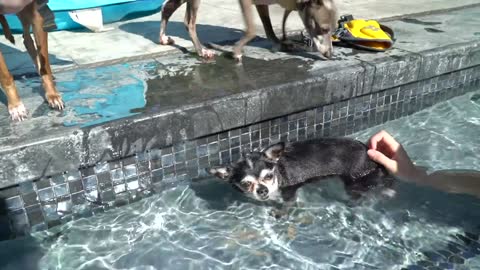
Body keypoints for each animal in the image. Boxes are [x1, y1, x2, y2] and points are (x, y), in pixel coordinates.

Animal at [159, 0, 336, 60]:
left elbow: (268, 26)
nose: (330, 55)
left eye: (333, 30)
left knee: (168, 7)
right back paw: (202, 51)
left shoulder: (262, 3)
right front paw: (236, 50)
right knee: (189, 22)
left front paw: (280, 43)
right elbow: (251, 30)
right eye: (323, 28)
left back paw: (163, 38)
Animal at [208, 137, 392, 217]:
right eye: (246, 184)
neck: (278, 175)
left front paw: (280, 213)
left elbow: (287, 204)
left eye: (268, 176)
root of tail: (369, 153)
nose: (262, 190)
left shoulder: (289, 191)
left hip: (355, 180)